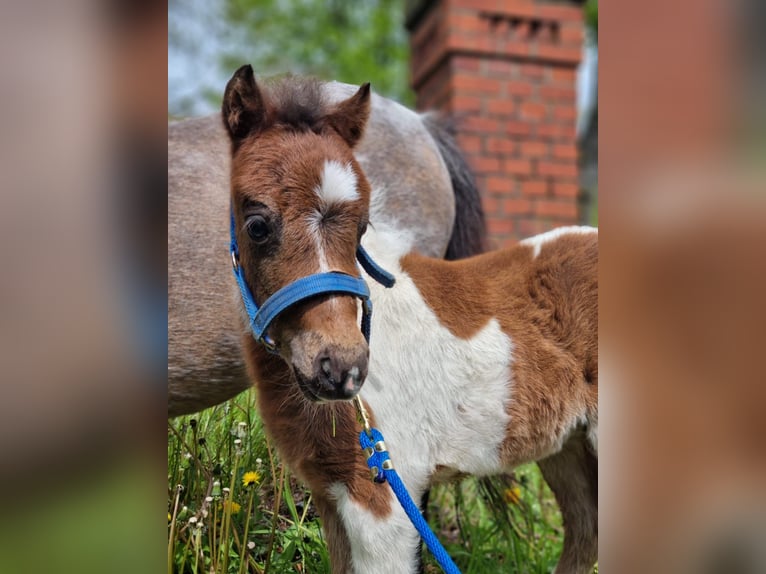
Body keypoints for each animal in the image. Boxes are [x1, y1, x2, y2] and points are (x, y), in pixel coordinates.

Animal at [222, 65, 600, 572]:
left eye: (362, 227)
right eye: (257, 225)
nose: (343, 369)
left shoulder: (379, 497)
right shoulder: (332, 493)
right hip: (569, 446)